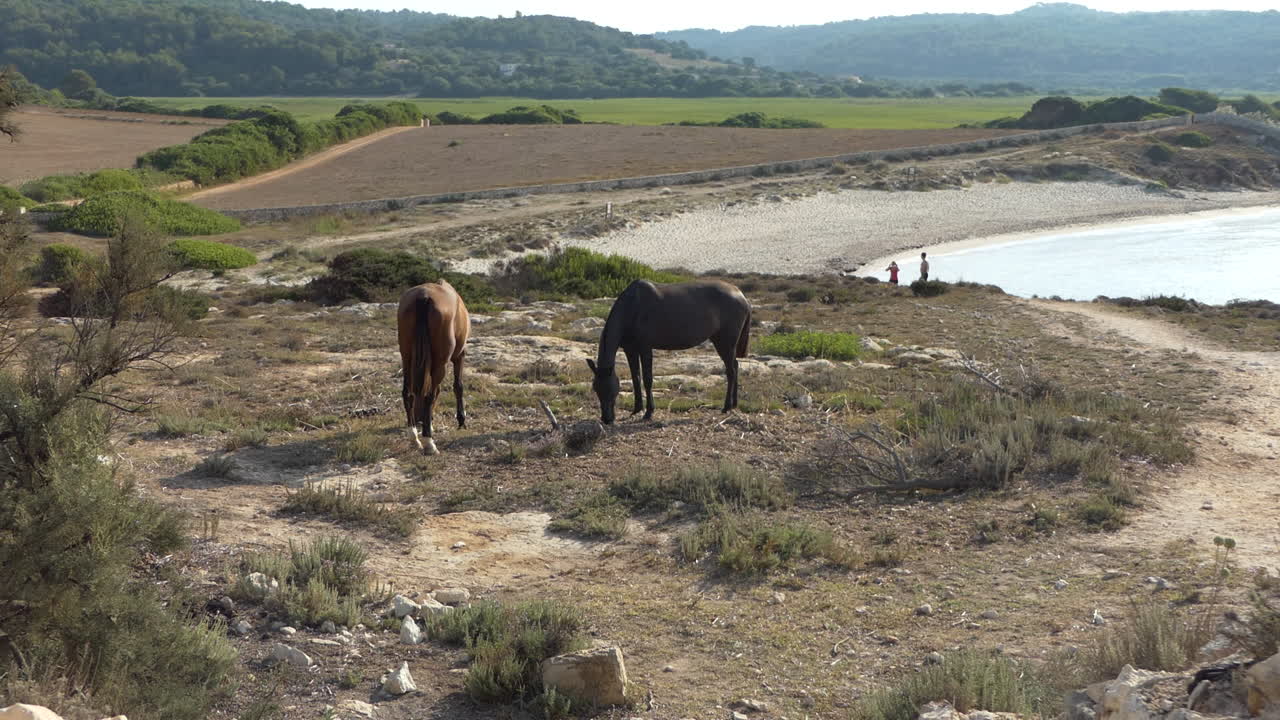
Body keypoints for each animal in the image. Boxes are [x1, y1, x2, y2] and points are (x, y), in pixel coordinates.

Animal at [396, 280, 470, 455]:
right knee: (430, 395)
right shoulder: (459, 356)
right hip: (440, 364)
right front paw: (461, 419)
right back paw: (429, 442)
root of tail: (423, 296)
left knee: (407, 393)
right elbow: (458, 386)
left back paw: (414, 437)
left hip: (407, 359)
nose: (420, 419)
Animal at [587, 279, 751, 424]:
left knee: (731, 371)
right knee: (736, 366)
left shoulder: (645, 348)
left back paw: (726, 407)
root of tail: (741, 296)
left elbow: (647, 379)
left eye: (610, 390)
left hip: (725, 342)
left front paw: (649, 412)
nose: (607, 419)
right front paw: (636, 409)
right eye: (596, 388)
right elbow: (635, 378)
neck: (632, 307)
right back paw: (734, 404)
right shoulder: (630, 349)